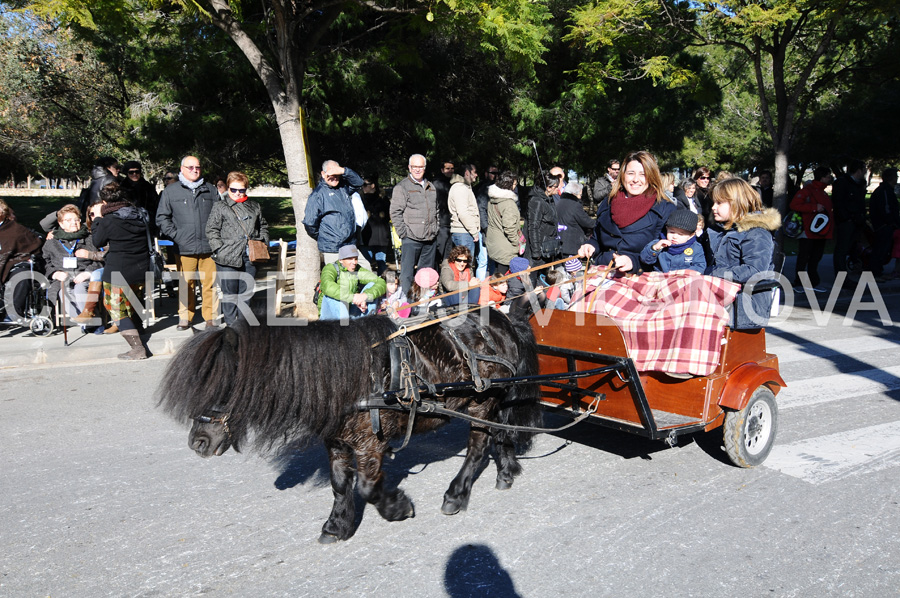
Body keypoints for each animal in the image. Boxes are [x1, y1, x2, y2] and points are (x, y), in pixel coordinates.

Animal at [155, 308, 540, 548]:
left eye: (224, 385)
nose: (198, 442)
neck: (350, 376)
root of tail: (502, 321)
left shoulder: (370, 444)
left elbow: (368, 487)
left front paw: (398, 507)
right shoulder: (337, 443)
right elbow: (340, 486)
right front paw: (336, 525)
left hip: (481, 401)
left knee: (477, 446)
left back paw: (456, 494)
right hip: (496, 400)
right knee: (499, 433)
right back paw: (506, 471)